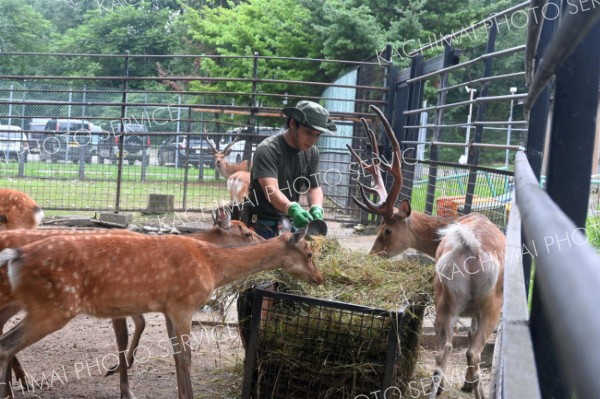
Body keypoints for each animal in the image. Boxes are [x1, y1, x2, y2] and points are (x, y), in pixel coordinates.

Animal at [0, 227, 322, 398]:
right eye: (309, 253)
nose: (319, 277)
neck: (213, 266)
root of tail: (16, 257)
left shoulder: (168, 308)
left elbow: (177, 356)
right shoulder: (184, 304)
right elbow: (186, 357)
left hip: (41, 306)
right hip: (55, 306)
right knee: (6, 344)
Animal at [352, 104, 506, 398]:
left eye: (386, 230)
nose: (372, 256)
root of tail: (471, 248)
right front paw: (466, 384)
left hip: (456, 299)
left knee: (456, 349)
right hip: (472, 301)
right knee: (461, 349)